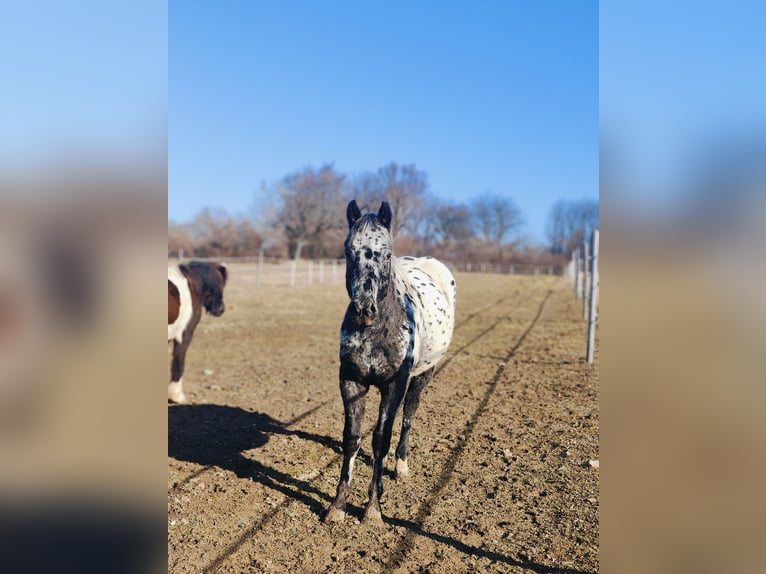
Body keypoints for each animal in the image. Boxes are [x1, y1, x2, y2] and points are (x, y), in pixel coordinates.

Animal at [324, 201, 456, 528]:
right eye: (348, 251)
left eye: (385, 253)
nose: (363, 310)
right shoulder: (351, 381)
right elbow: (352, 439)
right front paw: (338, 506)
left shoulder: (393, 385)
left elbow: (381, 439)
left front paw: (373, 509)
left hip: (423, 375)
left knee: (409, 414)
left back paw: (401, 465)